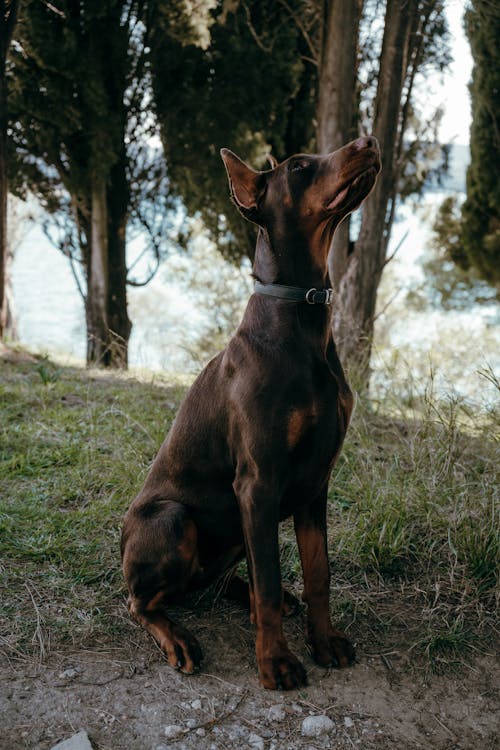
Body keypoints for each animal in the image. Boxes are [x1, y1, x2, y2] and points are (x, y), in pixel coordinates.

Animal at [121, 138, 378, 692]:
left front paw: (324, 641)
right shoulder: (258, 482)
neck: (302, 319)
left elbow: (318, 572)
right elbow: (271, 579)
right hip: (174, 520)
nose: (368, 141)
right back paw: (177, 638)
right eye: (300, 167)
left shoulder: (316, 481)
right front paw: (276, 662)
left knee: (221, 583)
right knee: (141, 601)